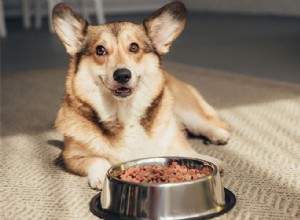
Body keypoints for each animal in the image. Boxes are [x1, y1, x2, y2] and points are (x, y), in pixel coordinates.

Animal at [52, 1, 230, 189]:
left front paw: (209, 160)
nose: (122, 75)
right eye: (100, 50)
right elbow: (97, 159)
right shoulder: (70, 156)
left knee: (203, 124)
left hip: (186, 111)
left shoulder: (172, 137)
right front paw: (101, 175)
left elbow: (187, 151)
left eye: (134, 47)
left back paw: (219, 135)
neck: (124, 112)